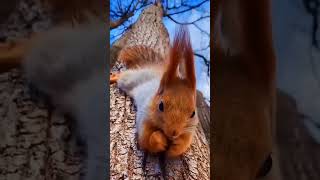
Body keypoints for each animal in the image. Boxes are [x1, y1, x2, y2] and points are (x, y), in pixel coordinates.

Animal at [111, 25, 199, 158]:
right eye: (160, 106)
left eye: (193, 113)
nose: (173, 132)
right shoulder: (145, 117)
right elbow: (146, 139)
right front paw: (159, 140)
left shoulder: (190, 130)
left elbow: (185, 143)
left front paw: (177, 145)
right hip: (129, 80)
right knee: (122, 76)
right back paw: (113, 77)